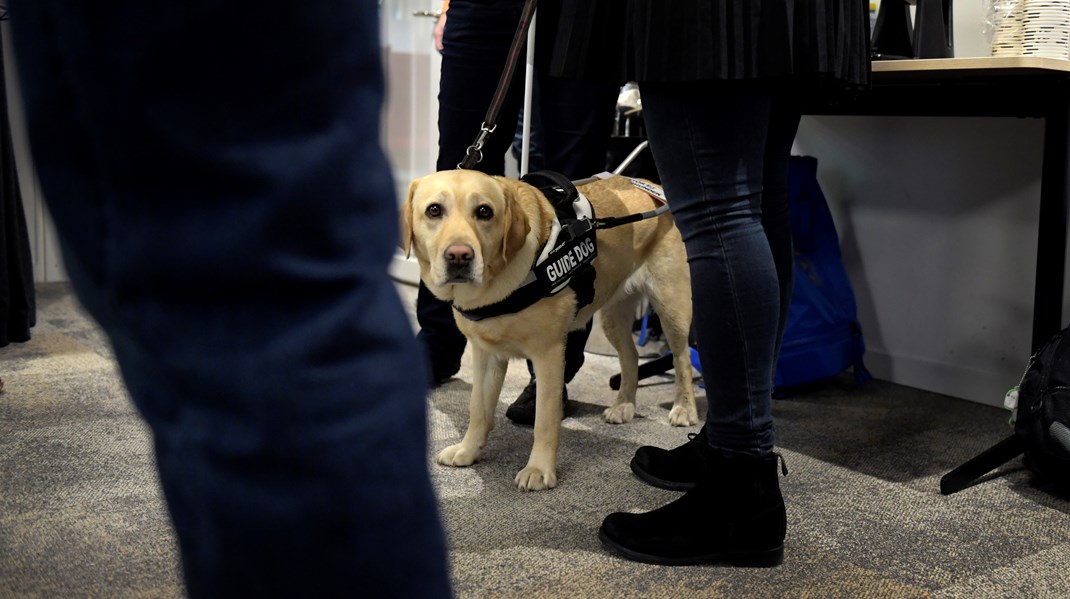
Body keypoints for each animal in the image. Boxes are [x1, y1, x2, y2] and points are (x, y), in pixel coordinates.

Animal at [402, 170, 693, 492]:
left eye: (484, 212)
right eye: (434, 210)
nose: (459, 256)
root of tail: (652, 185)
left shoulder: (549, 354)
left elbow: (544, 420)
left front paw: (539, 469)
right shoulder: (486, 354)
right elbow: (478, 409)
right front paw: (468, 450)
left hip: (672, 307)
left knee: (682, 359)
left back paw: (684, 409)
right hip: (613, 317)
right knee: (630, 357)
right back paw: (624, 406)